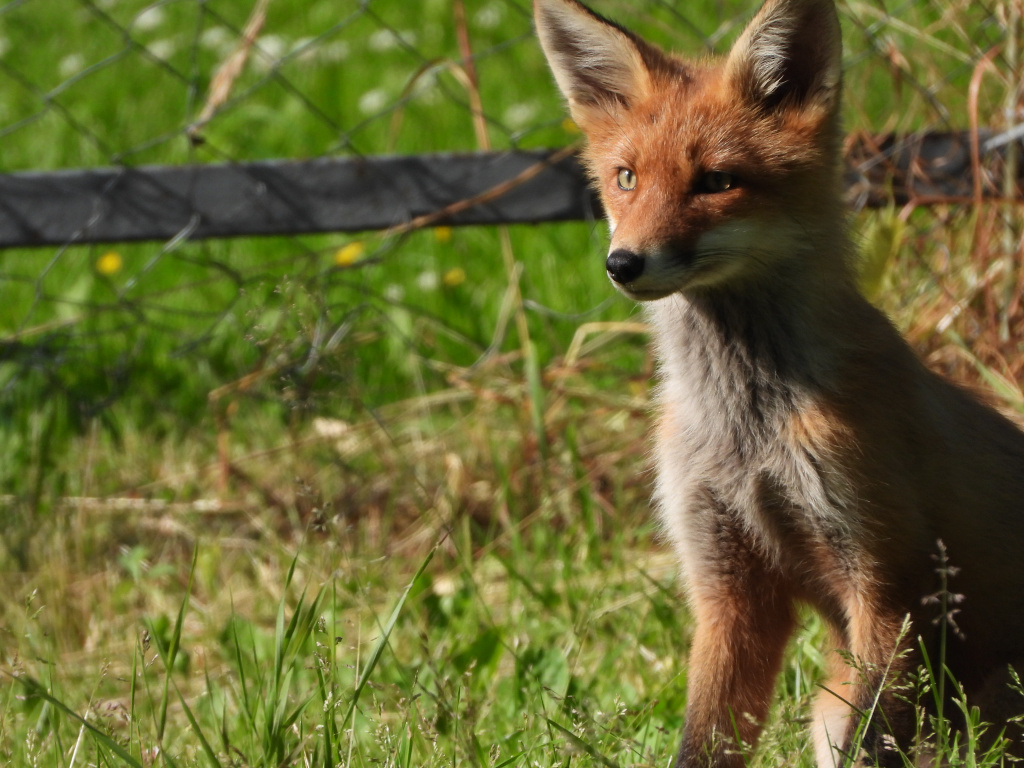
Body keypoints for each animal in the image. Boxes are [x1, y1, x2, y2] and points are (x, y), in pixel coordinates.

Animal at [533, 0, 1024, 765]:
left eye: (716, 181)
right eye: (626, 178)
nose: (623, 263)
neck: (747, 429)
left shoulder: (889, 584)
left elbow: (872, 741)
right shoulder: (729, 588)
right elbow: (703, 740)